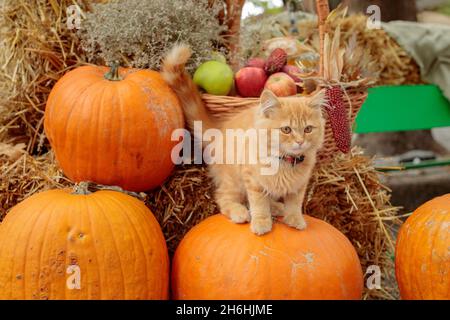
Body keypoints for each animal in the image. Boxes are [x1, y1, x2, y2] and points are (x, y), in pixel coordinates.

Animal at [162, 44, 324, 235]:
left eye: (308, 129)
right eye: (286, 129)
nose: (300, 141)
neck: (285, 161)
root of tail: (220, 132)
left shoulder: (299, 185)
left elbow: (294, 203)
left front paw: (294, 219)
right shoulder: (252, 179)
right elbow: (259, 203)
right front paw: (261, 223)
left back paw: (277, 207)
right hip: (234, 180)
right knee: (222, 197)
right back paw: (240, 213)